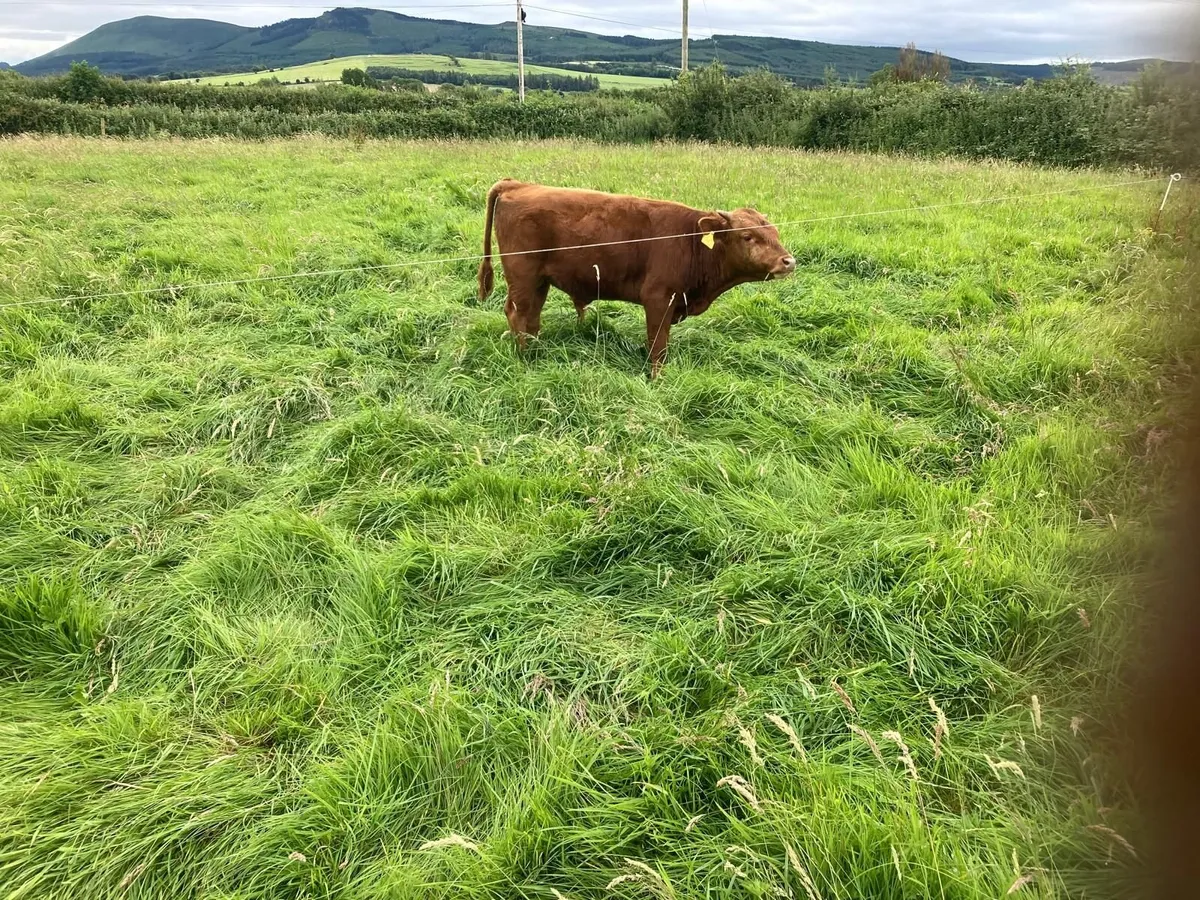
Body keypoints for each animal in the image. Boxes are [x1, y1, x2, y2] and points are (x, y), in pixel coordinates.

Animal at [476, 179, 796, 378]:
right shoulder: (658, 298)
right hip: (523, 276)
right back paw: (525, 357)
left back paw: (536, 351)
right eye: (747, 236)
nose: (788, 261)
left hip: (539, 281)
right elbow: (658, 344)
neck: (691, 241)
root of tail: (518, 184)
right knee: (518, 315)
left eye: (775, 233)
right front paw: (657, 377)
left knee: (531, 318)